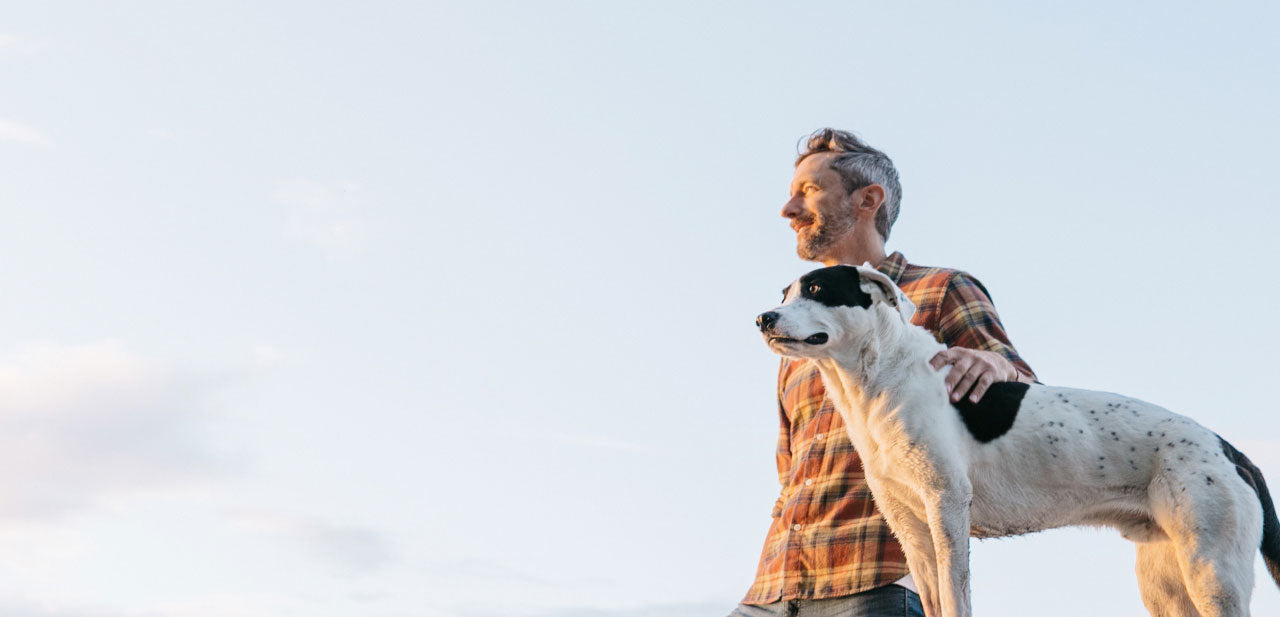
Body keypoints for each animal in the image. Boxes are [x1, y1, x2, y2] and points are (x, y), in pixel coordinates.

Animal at [752, 264, 1274, 617]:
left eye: (817, 289)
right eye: (786, 293)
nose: (763, 318)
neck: (879, 375)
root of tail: (1230, 450)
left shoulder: (946, 505)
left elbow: (956, 594)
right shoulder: (909, 525)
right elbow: (934, 596)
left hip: (1212, 572)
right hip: (1167, 582)